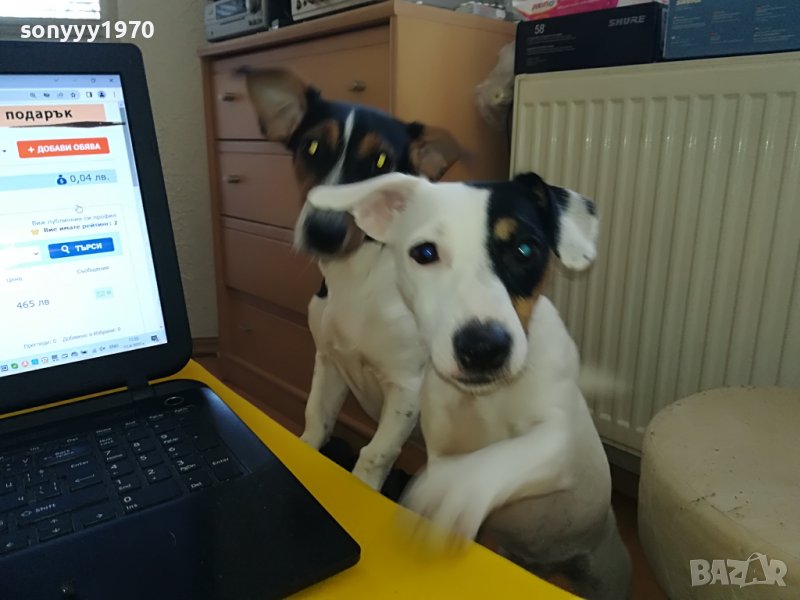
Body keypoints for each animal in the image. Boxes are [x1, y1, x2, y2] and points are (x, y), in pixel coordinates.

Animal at [242, 69, 462, 490]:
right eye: (311, 147)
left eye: (381, 160)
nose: (322, 232)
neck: (358, 278)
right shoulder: (329, 364)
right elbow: (315, 420)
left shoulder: (406, 390)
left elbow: (374, 454)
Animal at [306, 172, 632, 599]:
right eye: (425, 252)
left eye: (525, 249)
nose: (483, 348)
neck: (484, 400)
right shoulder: (439, 443)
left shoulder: (562, 440)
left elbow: (502, 458)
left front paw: (455, 492)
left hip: (606, 574)